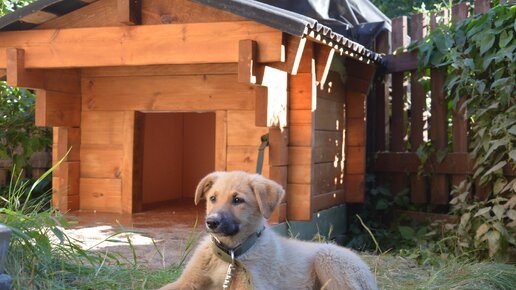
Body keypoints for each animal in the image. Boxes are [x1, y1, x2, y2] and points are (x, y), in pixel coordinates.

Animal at [159, 171, 376, 288]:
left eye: (237, 200)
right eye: (213, 198)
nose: (211, 222)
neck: (230, 253)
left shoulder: (252, 286)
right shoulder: (186, 282)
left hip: (328, 258)